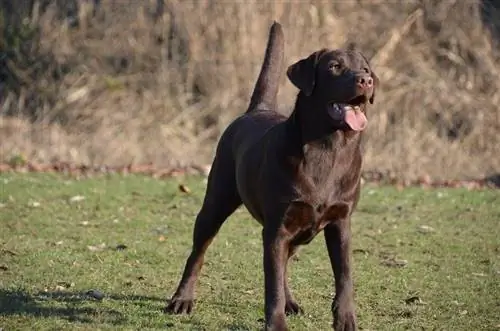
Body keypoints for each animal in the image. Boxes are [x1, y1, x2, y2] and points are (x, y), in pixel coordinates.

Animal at [165, 21, 378, 331]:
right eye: (335, 66)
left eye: (364, 68)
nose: (365, 81)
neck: (328, 147)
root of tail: (258, 109)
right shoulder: (277, 227)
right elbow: (272, 283)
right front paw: (276, 324)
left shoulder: (341, 223)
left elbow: (344, 276)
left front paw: (346, 319)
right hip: (216, 203)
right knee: (198, 253)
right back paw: (182, 299)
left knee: (285, 263)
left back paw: (290, 302)